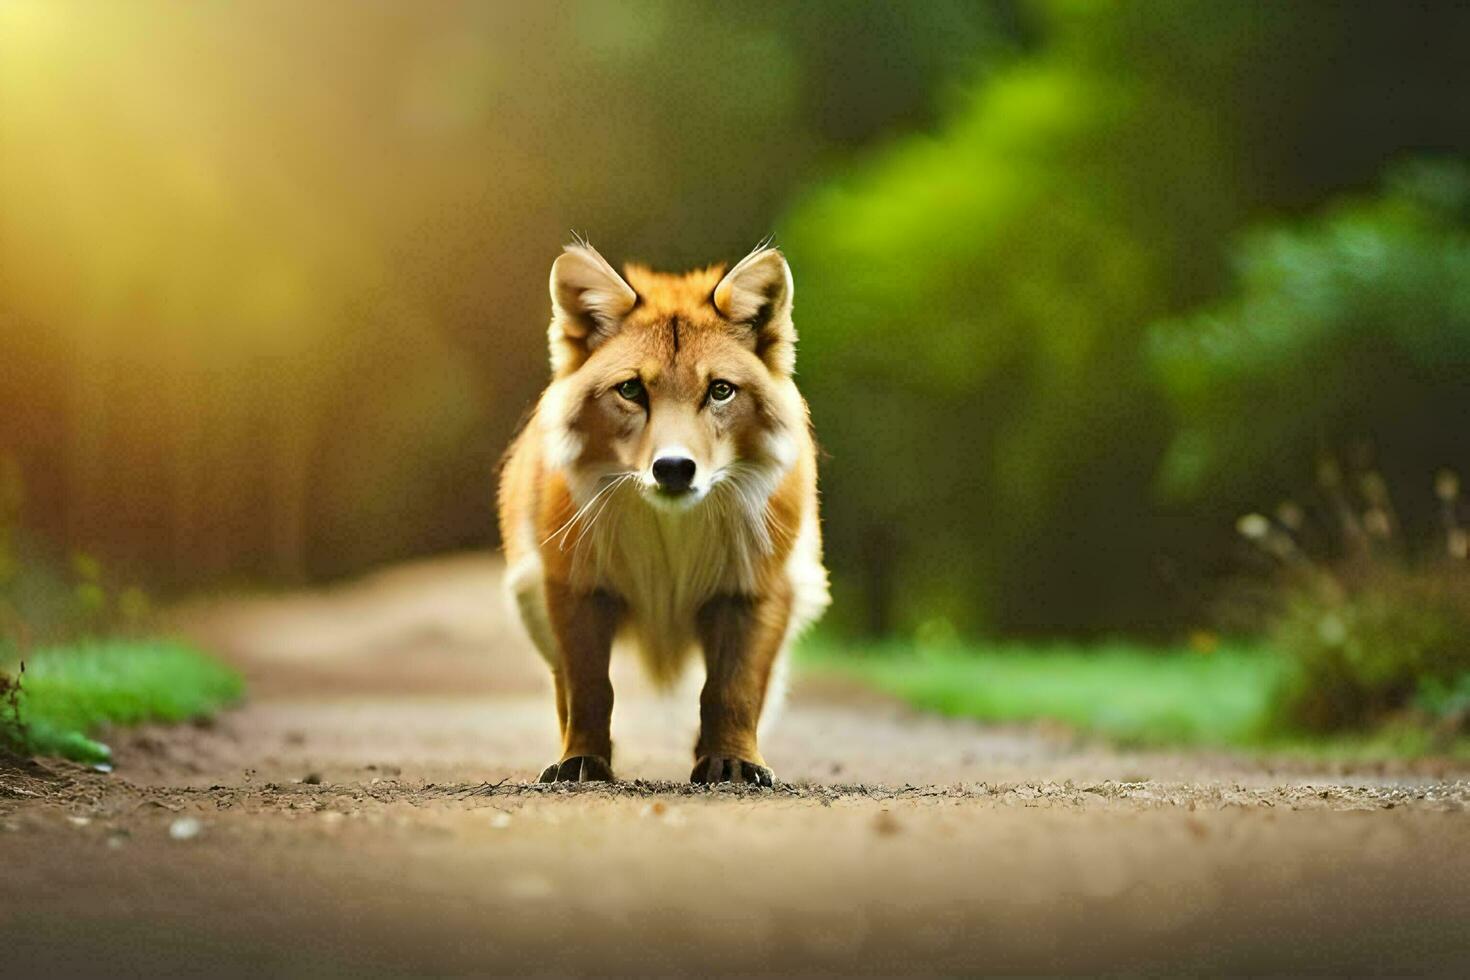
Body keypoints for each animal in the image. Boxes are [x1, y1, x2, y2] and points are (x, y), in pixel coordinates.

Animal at [499, 240, 829, 787]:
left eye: (720, 390)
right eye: (632, 390)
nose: (673, 468)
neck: (671, 539)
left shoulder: (755, 588)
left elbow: (732, 691)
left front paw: (732, 761)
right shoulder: (575, 586)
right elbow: (589, 690)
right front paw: (582, 760)